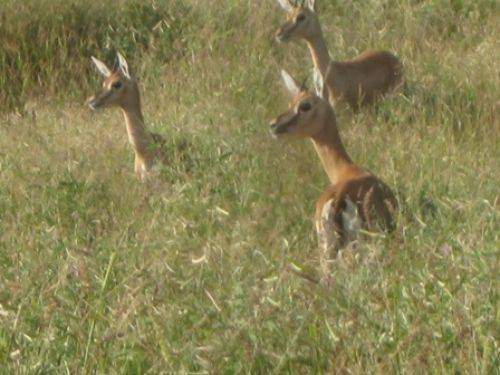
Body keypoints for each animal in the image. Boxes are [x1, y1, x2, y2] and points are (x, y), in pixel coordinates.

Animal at [270, 70, 398, 276]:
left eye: (304, 105)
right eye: (290, 104)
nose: (273, 125)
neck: (346, 171)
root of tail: (339, 199)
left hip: (329, 251)